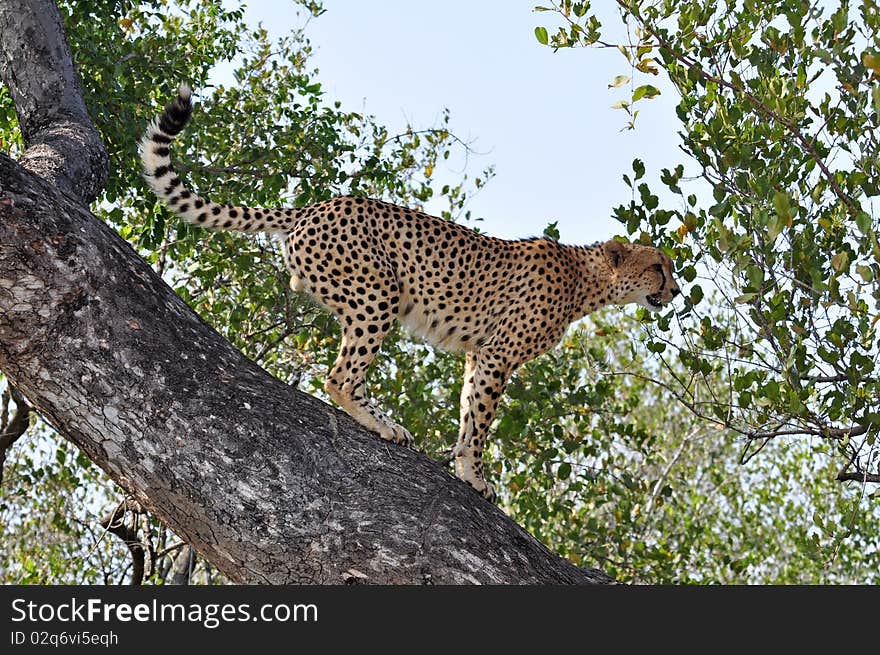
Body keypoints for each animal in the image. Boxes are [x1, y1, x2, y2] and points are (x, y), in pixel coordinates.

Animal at [143, 84, 680, 500]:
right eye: (659, 266)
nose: (675, 290)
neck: (587, 281)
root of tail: (315, 205)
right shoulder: (499, 354)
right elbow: (482, 420)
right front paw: (475, 475)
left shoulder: (479, 353)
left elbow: (468, 412)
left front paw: (463, 466)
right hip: (378, 291)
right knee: (340, 376)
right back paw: (381, 422)